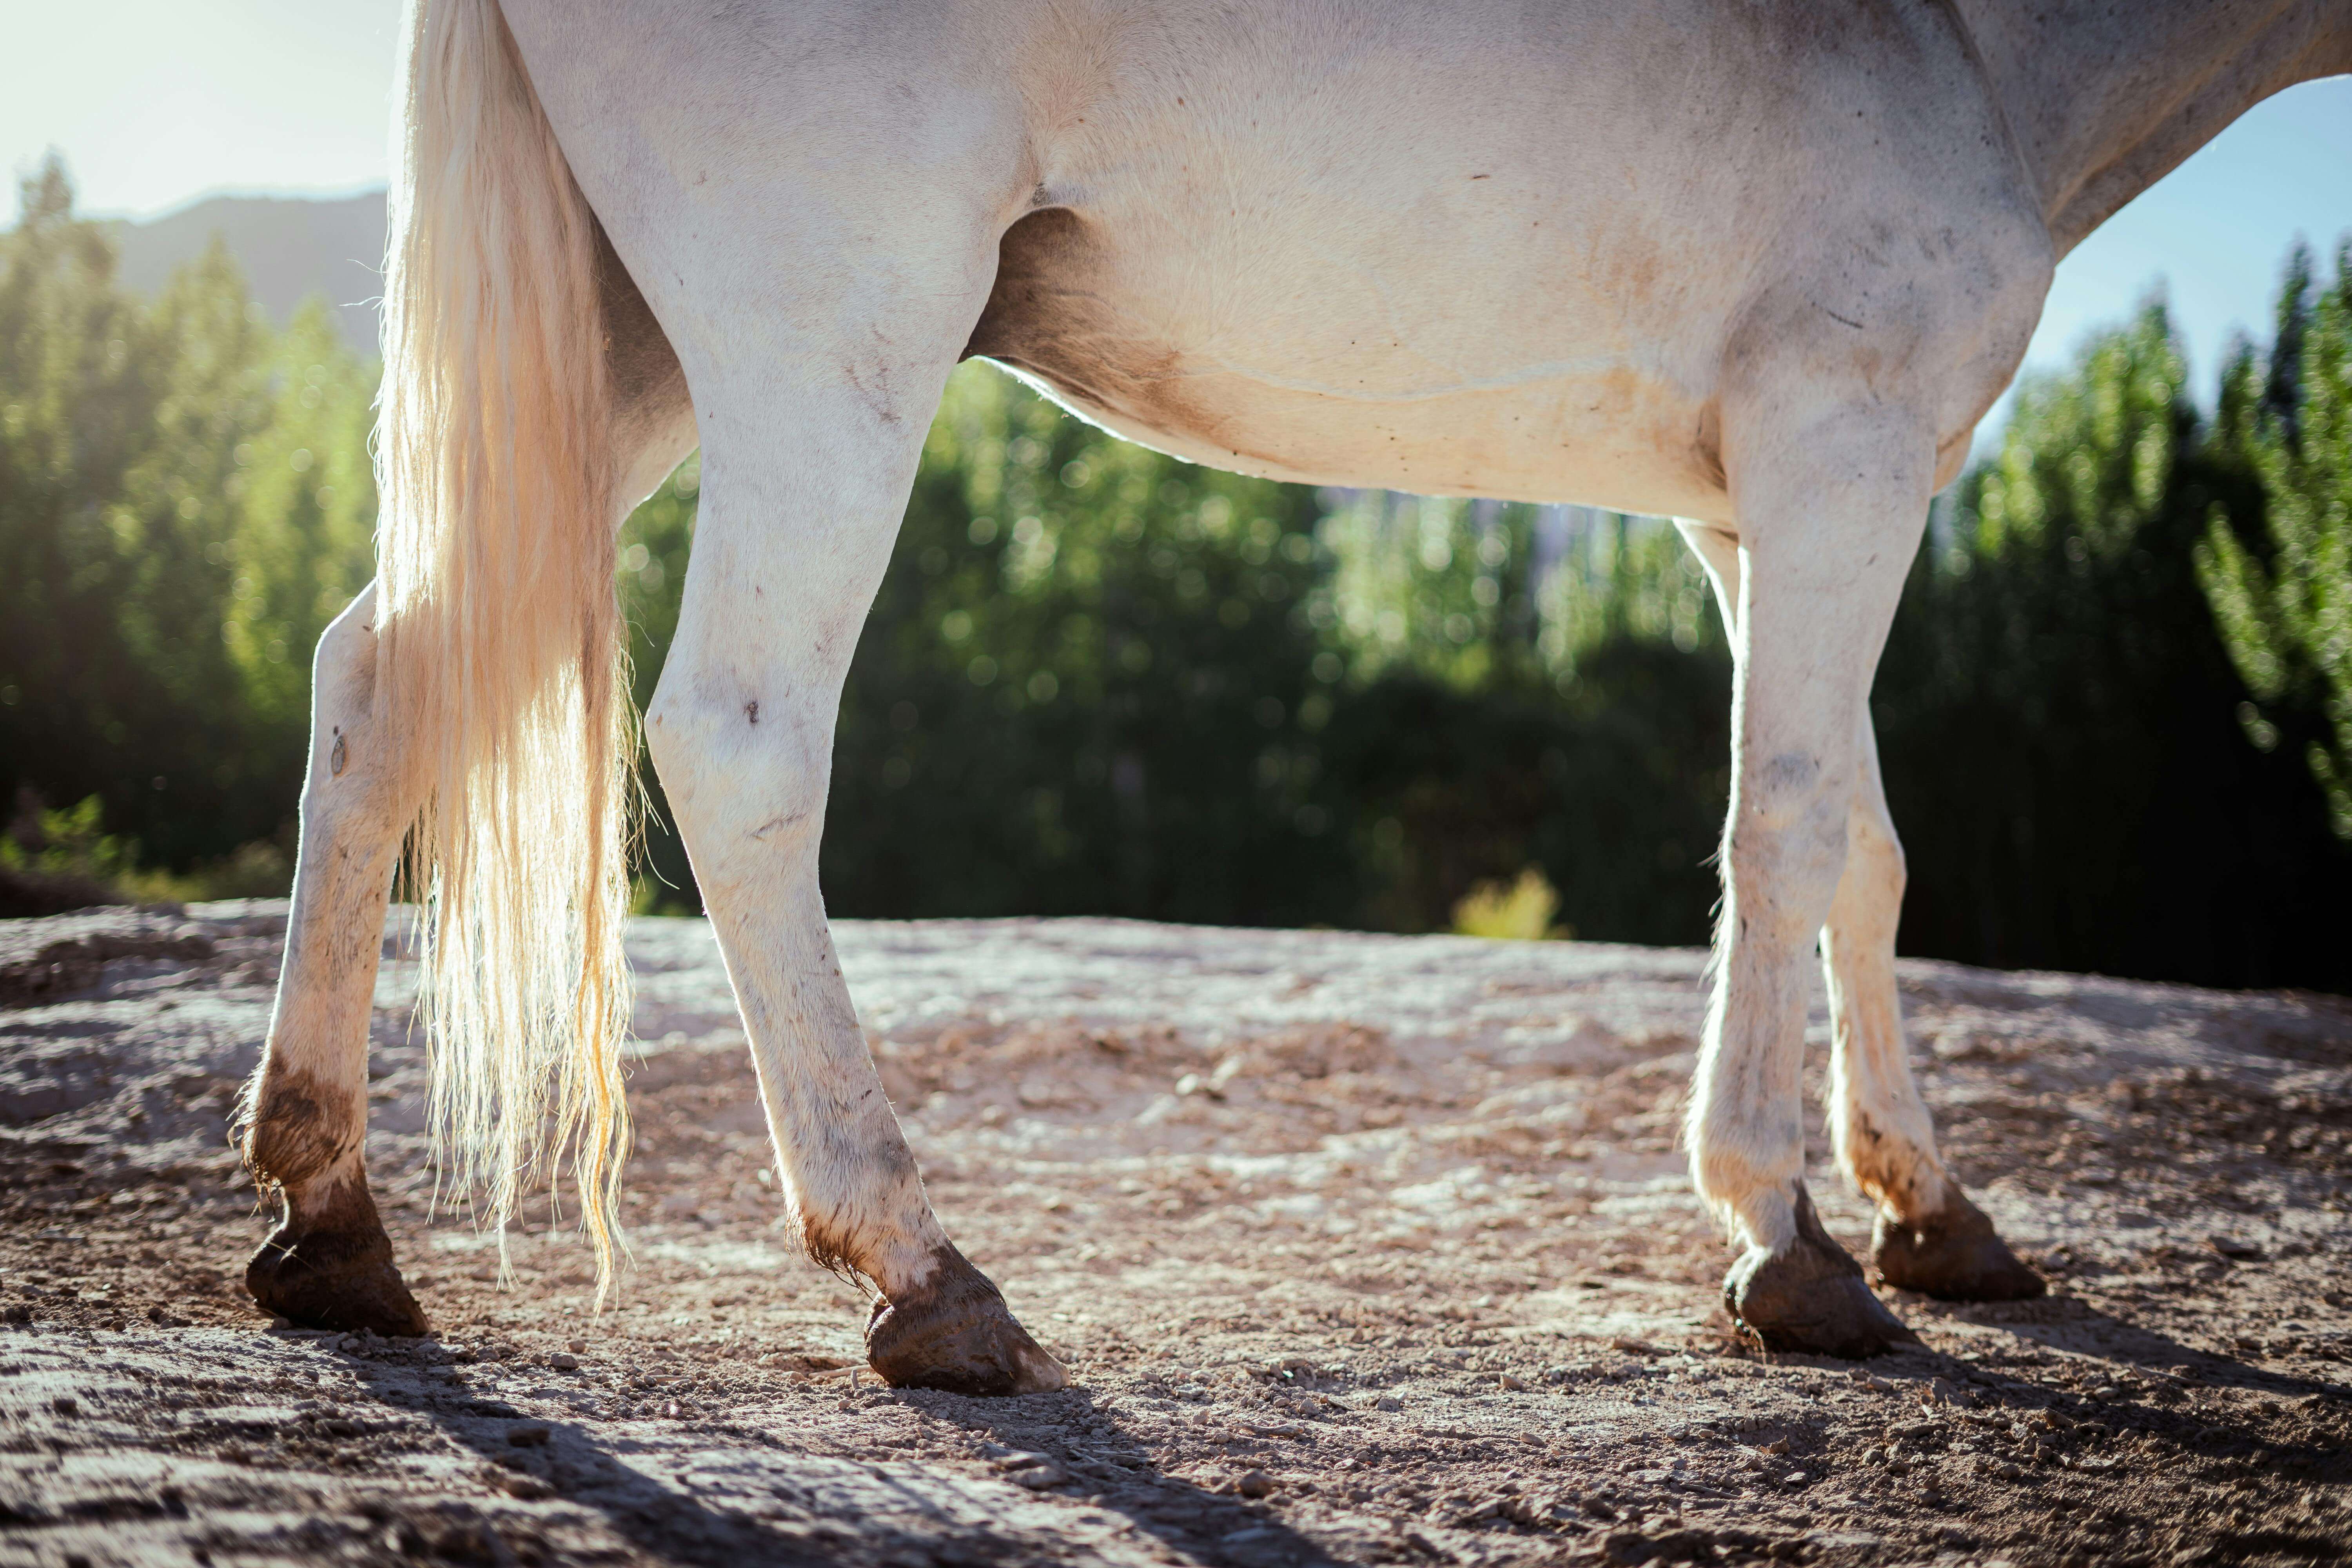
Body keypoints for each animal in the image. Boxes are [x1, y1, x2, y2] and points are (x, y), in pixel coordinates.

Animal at [232, 0, 2352, 1394]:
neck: (1968, 41)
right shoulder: (1832, 448)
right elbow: (1790, 819)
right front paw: (1790, 1234)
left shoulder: (1775, 504)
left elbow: (1864, 845)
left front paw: (1930, 1203)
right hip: (816, 342)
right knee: (739, 735)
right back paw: (913, 1262)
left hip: (620, 364)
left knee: (381, 679)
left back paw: (333, 1221)